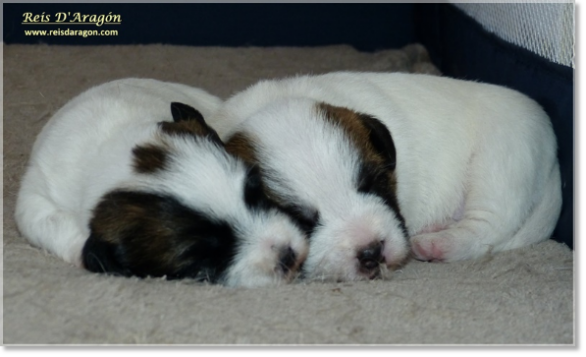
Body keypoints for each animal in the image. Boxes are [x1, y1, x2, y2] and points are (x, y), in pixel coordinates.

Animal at [210, 71, 560, 282]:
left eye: (374, 183)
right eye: (301, 220)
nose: (371, 251)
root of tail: (555, 163)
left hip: (498, 165)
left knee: (485, 229)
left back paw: (438, 243)